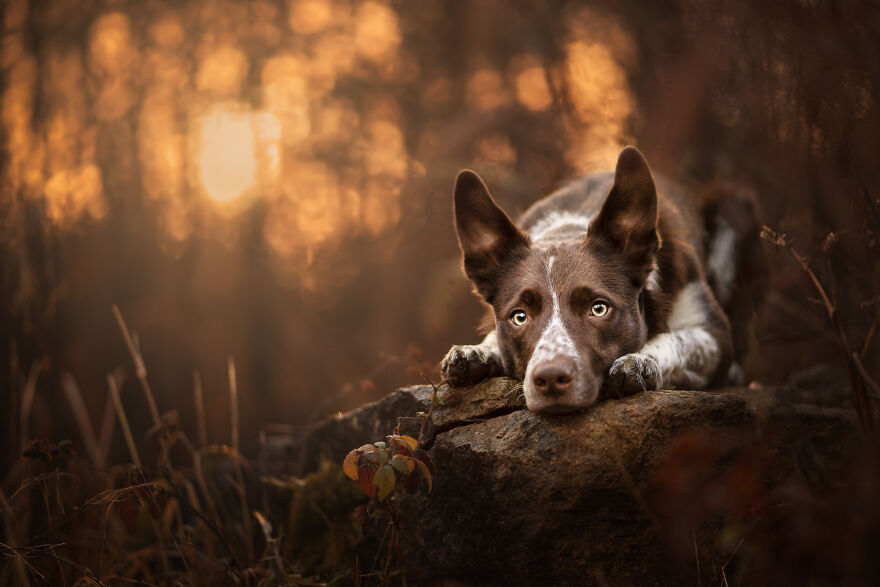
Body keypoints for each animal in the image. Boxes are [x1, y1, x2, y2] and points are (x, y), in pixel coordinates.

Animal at [444, 147, 760, 414]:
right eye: (519, 317)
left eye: (599, 308)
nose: (550, 377)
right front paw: (477, 351)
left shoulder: (716, 335)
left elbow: (677, 340)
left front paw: (640, 361)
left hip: (733, 205)